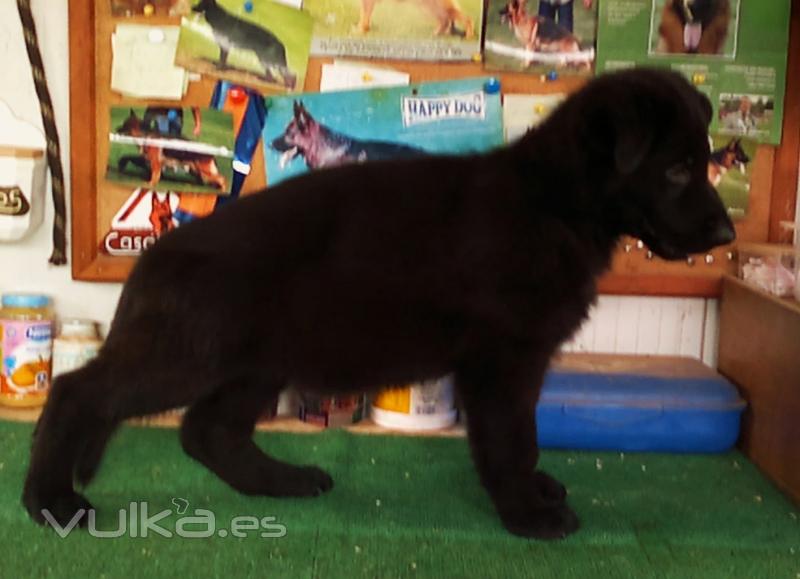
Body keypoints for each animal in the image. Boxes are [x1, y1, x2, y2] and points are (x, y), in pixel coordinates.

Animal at [23, 69, 736, 544]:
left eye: (702, 163)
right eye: (677, 169)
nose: (728, 235)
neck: (554, 200)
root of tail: (151, 257)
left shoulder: (517, 360)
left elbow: (524, 439)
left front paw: (532, 493)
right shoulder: (504, 359)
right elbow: (511, 439)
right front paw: (527, 512)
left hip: (259, 360)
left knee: (208, 431)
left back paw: (282, 481)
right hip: (191, 353)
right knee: (79, 392)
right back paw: (50, 500)